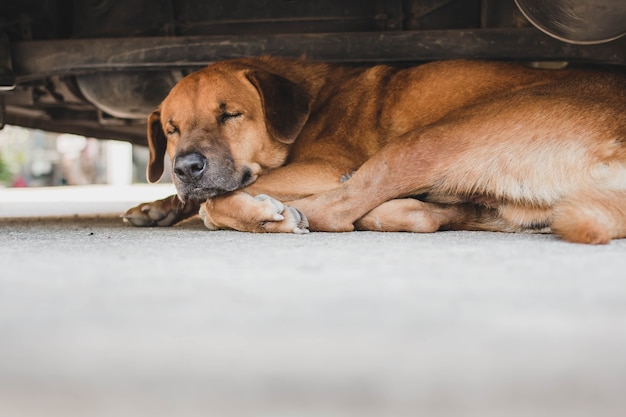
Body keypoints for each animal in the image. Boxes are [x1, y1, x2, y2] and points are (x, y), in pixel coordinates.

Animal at [123, 57, 624, 242]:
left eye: (230, 114)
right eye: (171, 129)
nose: (186, 167)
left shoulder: (325, 166)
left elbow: (216, 202)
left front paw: (259, 212)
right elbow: (199, 199)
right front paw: (158, 206)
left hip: (429, 139)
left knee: (337, 211)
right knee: (428, 215)